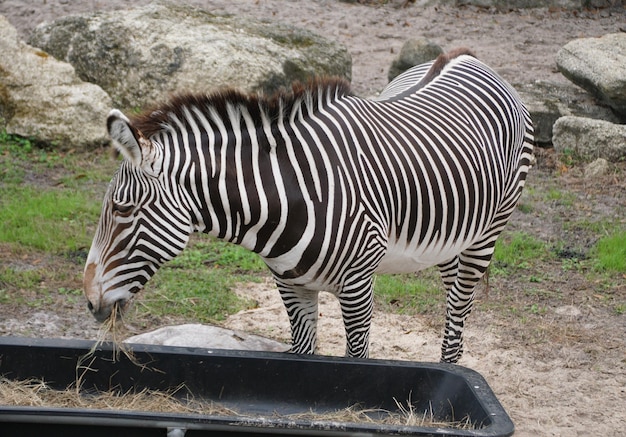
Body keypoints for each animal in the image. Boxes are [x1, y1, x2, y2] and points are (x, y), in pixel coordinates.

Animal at [83, 46, 532, 362]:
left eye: (122, 210)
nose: (89, 302)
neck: (286, 200)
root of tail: (465, 57)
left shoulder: (357, 285)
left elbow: (357, 354)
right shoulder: (290, 284)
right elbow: (302, 353)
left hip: (488, 232)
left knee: (457, 316)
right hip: (452, 233)